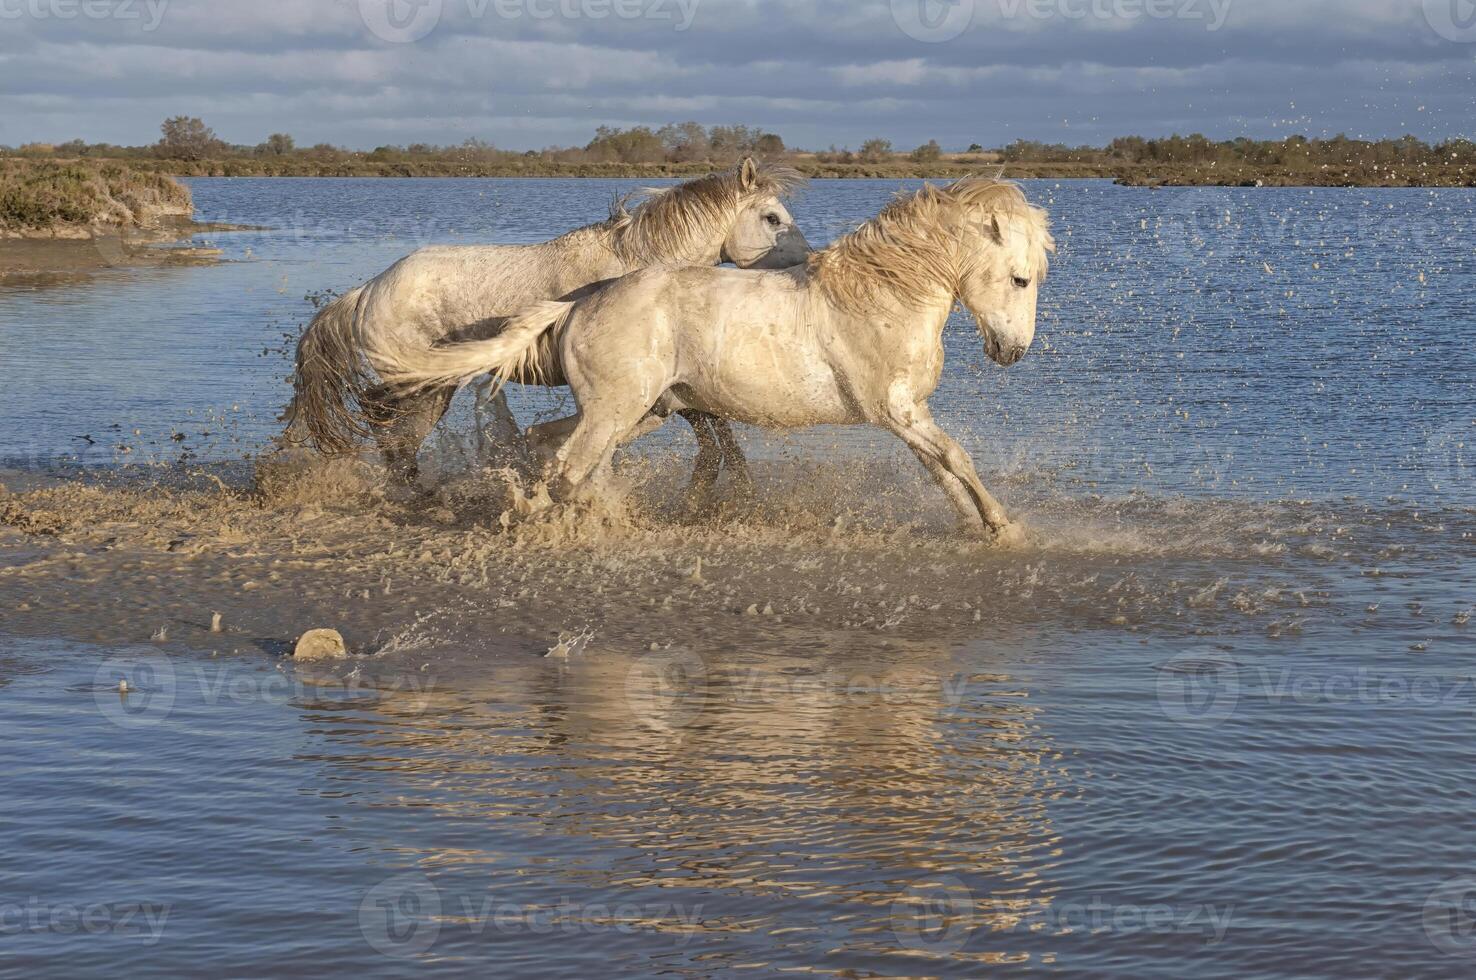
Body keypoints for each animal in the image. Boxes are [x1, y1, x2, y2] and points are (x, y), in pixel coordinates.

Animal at [280, 162, 802, 498]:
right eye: (772, 218)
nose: (805, 263)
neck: (641, 261)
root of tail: (368, 290)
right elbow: (709, 423)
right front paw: (732, 491)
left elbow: (709, 422)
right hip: (423, 381)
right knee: (376, 410)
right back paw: (407, 483)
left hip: (434, 384)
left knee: (386, 417)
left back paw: (410, 482)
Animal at [380, 177, 1050, 543]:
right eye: (1020, 279)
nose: (1012, 352)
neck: (881, 295)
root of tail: (580, 302)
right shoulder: (899, 412)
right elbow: (957, 458)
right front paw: (1006, 527)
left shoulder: (907, 418)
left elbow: (941, 471)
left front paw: (975, 526)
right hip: (619, 409)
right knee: (569, 468)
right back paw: (564, 524)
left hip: (640, 412)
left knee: (557, 451)